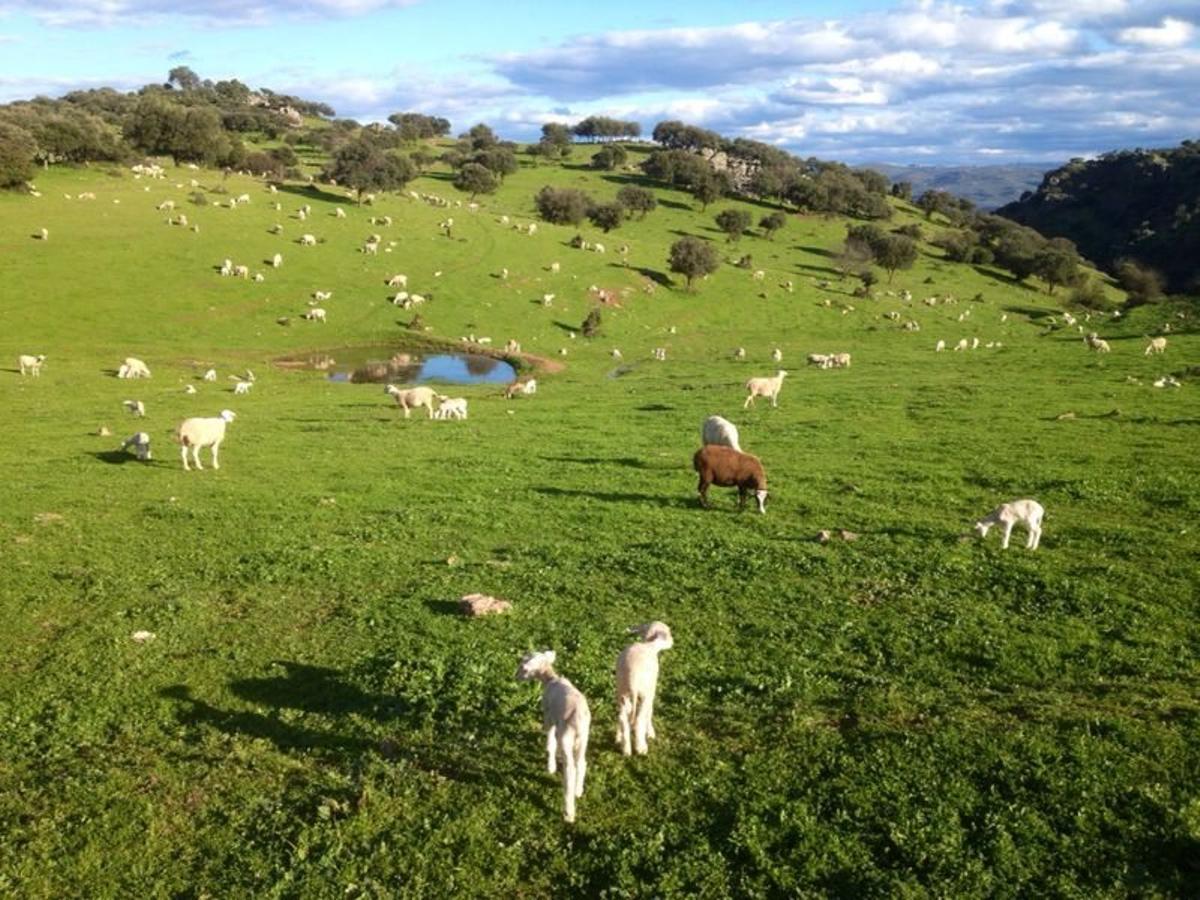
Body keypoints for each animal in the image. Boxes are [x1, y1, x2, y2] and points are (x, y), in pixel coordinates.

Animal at [513, 652, 592, 830]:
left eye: (522, 667)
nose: (516, 677)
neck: (551, 678)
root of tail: (578, 718)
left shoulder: (548, 717)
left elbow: (550, 741)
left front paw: (550, 767)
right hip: (583, 737)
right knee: (581, 763)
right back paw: (578, 790)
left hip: (566, 736)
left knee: (570, 768)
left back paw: (569, 811)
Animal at [619, 619, 676, 763]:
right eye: (668, 632)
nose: (673, 640)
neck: (650, 645)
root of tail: (632, 679)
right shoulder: (651, 691)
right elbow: (649, 712)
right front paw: (650, 732)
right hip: (644, 692)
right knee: (639, 719)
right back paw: (641, 747)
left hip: (622, 692)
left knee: (623, 717)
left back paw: (626, 748)